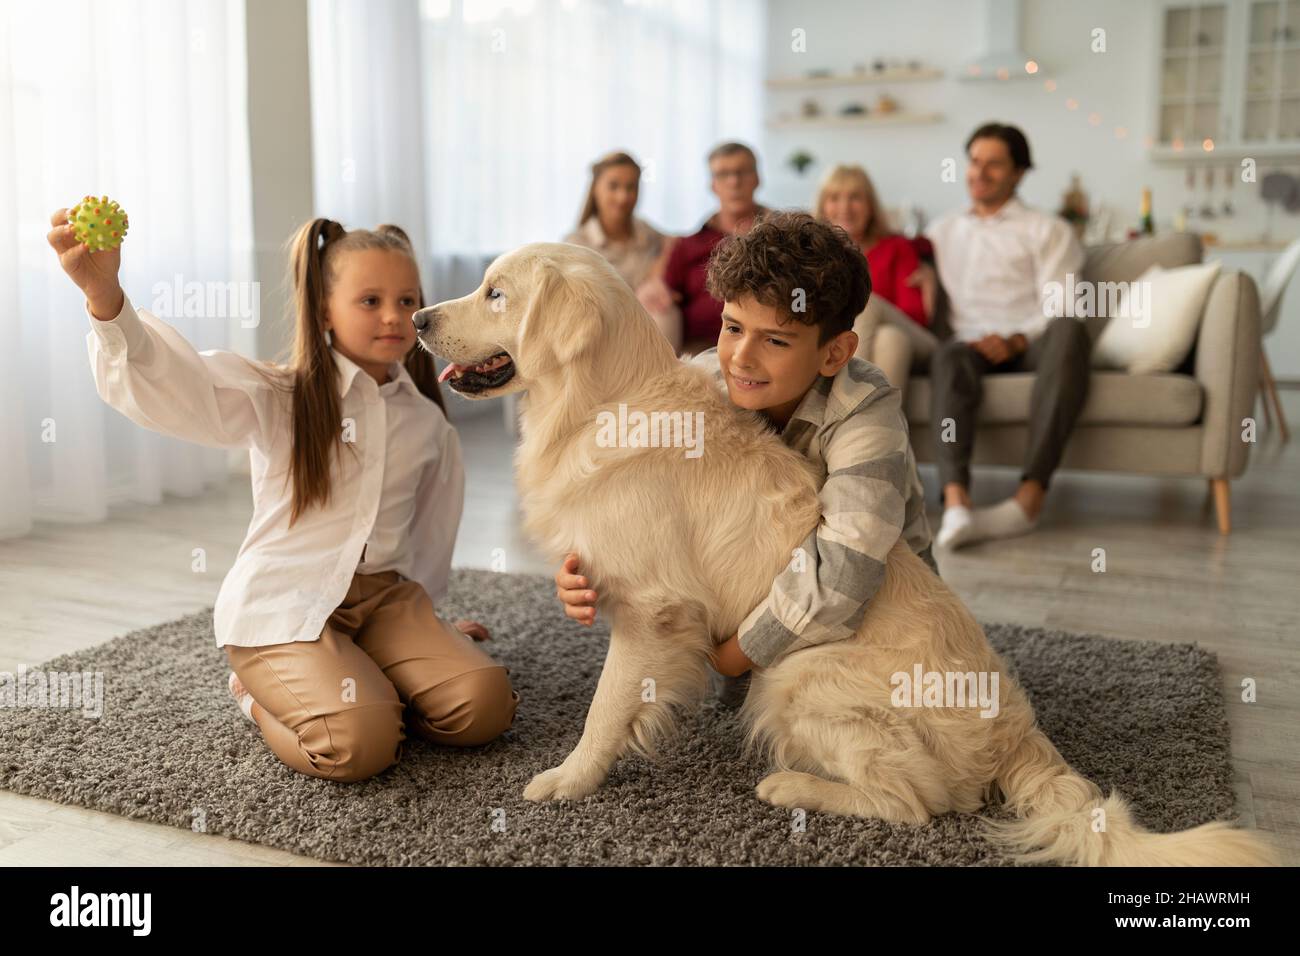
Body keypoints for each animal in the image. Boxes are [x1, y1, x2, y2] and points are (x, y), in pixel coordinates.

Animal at [413, 240, 1268, 868]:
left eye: (495, 293)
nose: (420, 317)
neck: (602, 403)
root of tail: (1018, 733)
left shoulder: (654, 612)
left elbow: (605, 708)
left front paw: (568, 781)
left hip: (796, 677)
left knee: (919, 803)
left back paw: (793, 785)